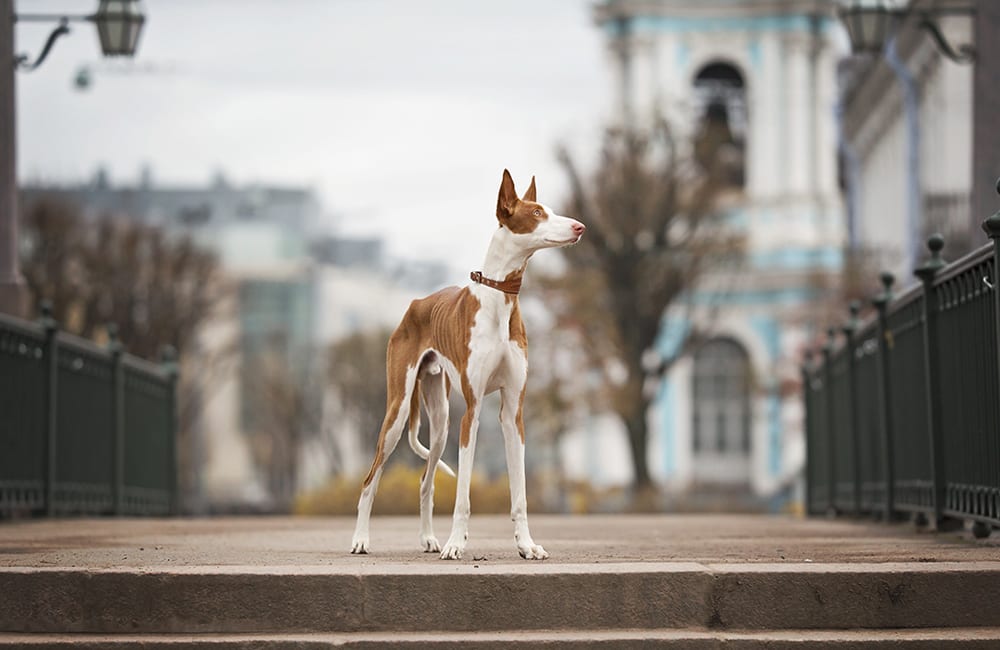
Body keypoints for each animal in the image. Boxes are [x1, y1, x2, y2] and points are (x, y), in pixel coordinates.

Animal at [352, 168, 584, 556]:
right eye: (537, 213)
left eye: (549, 210)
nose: (580, 227)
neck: (499, 299)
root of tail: (416, 304)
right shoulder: (472, 413)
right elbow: (462, 495)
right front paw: (455, 543)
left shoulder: (512, 413)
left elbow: (519, 494)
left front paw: (526, 545)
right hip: (397, 413)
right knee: (371, 479)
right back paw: (361, 539)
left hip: (441, 420)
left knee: (425, 481)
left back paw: (428, 538)